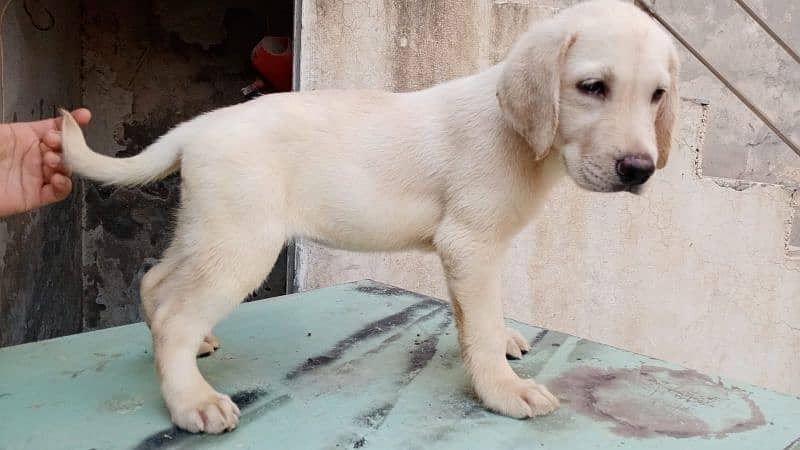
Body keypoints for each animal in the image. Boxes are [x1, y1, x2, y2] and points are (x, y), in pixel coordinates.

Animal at [59, 0, 680, 436]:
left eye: (657, 95)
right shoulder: (470, 244)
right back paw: (192, 399)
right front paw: (504, 390)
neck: (523, 137)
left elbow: (478, 317)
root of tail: (195, 128)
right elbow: (477, 323)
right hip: (241, 244)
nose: (639, 170)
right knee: (173, 314)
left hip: (209, 231)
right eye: (592, 88)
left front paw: (501, 343)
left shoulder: (477, 252)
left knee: (158, 282)